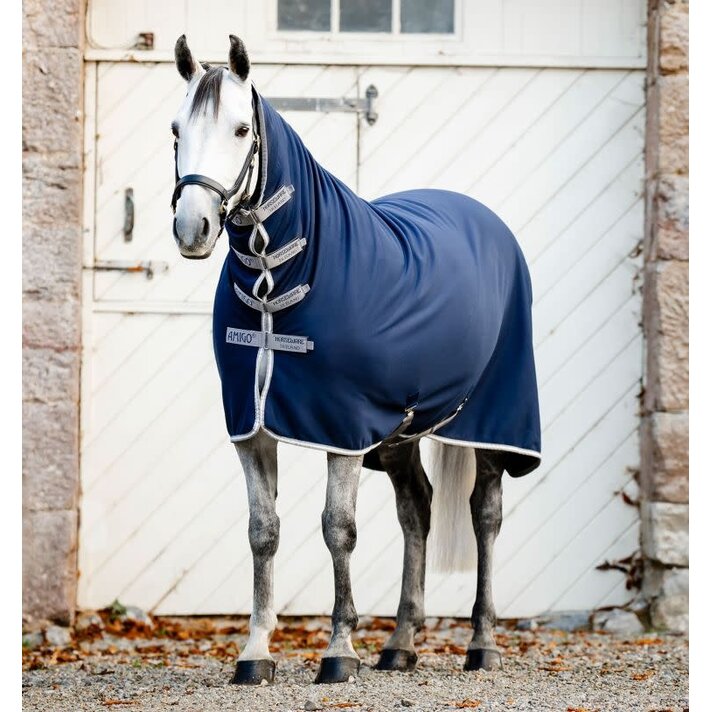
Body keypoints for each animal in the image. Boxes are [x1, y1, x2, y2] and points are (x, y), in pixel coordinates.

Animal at [169, 34, 541, 685]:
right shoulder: (252, 426)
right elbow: (262, 532)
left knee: (485, 513)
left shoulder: (340, 427)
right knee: (416, 509)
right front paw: (255, 652)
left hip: (490, 421)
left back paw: (481, 642)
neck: (277, 277)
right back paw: (400, 643)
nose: (193, 228)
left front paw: (339, 650)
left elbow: (337, 530)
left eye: (241, 129)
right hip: (400, 434)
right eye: (175, 130)